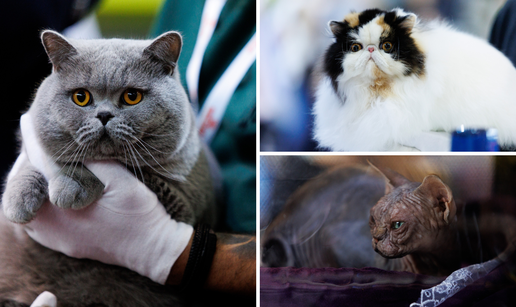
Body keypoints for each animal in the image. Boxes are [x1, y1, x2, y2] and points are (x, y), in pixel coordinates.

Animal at [0, 30, 218, 306]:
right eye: (81, 97)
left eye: (132, 96)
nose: (104, 115)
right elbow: (36, 161)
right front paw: (18, 202)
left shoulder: (186, 202)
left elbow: (128, 169)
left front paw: (70, 186)